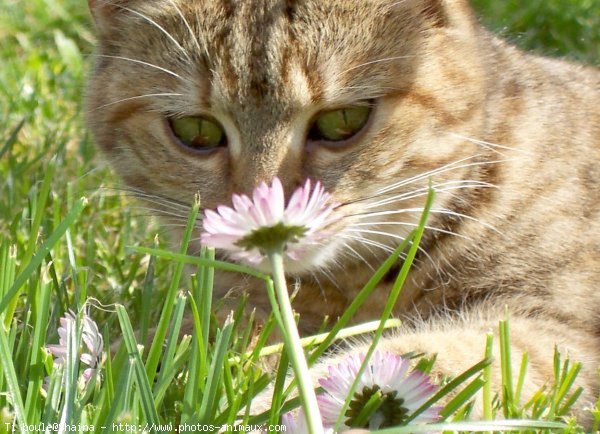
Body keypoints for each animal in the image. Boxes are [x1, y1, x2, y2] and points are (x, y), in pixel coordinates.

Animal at [84, 0, 600, 424]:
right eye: (196, 130)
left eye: (344, 121)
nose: (264, 212)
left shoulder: (557, 331)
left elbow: (434, 359)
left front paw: (286, 404)